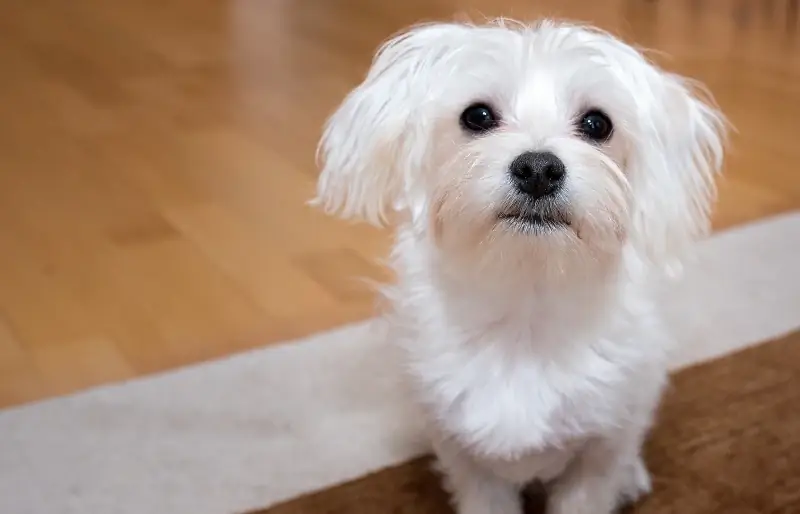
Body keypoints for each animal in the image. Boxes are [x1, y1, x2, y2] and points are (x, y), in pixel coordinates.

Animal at [310, 18, 724, 510]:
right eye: (477, 116)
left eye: (597, 123)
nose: (539, 169)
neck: (526, 302)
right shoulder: (464, 454)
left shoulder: (602, 448)